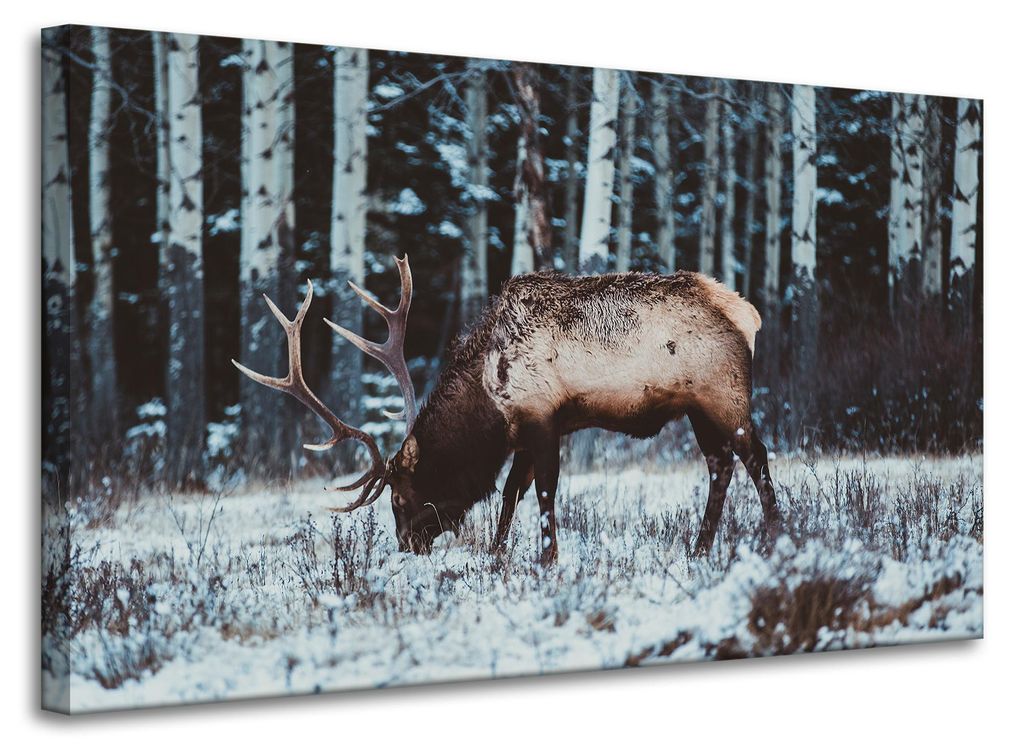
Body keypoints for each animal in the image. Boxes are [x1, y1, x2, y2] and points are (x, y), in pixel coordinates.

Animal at [233, 256, 780, 566]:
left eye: (401, 497)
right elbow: (512, 491)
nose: (407, 545)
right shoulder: (524, 430)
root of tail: (749, 314)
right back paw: (701, 547)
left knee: (755, 455)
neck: (487, 399)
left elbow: (542, 491)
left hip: (724, 394)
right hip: (697, 408)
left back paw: (774, 535)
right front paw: (498, 555)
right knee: (720, 464)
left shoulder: (542, 418)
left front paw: (547, 559)